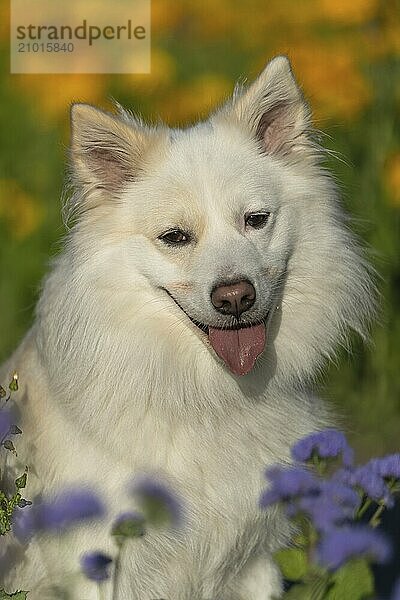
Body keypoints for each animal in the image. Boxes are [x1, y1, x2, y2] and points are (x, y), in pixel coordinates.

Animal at [0, 57, 376, 600]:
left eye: (256, 220)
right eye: (175, 237)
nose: (235, 296)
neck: (206, 397)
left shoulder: (254, 561)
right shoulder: (99, 564)